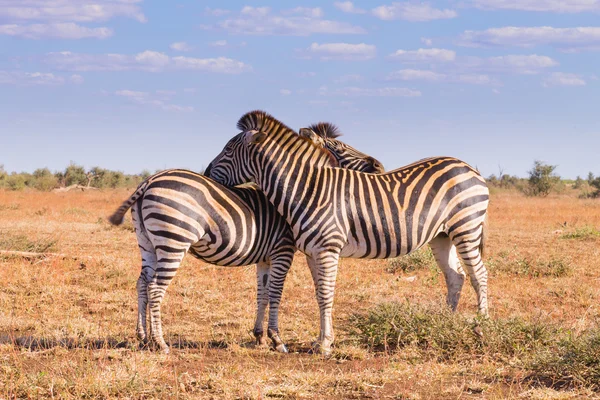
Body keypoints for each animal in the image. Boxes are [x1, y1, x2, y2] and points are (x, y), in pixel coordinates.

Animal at [108, 124, 382, 354]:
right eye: (340, 148)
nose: (378, 166)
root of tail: (149, 180)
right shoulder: (283, 250)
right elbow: (275, 293)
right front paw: (277, 340)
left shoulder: (265, 256)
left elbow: (262, 293)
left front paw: (259, 336)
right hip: (173, 240)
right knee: (155, 287)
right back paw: (160, 342)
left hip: (148, 242)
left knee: (142, 283)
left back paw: (143, 337)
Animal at [204, 110, 490, 356]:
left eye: (227, 150)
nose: (205, 172)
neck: (308, 188)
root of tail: (468, 167)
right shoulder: (312, 253)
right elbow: (319, 293)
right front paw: (320, 340)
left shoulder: (328, 249)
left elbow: (326, 293)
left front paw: (325, 345)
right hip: (442, 236)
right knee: (455, 276)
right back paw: (445, 323)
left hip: (466, 228)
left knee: (479, 274)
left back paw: (481, 327)